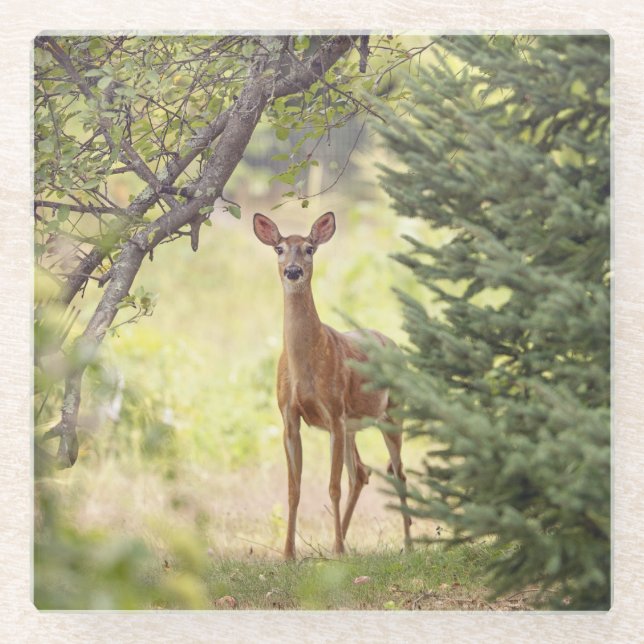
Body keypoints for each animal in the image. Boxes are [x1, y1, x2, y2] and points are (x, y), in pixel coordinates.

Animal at [253, 211, 412, 560]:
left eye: (310, 248)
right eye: (279, 248)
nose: (293, 271)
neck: (306, 366)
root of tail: (393, 344)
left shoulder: (334, 411)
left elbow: (332, 486)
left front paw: (336, 550)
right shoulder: (289, 417)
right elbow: (294, 488)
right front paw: (288, 553)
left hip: (393, 413)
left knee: (398, 473)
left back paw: (406, 543)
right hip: (353, 425)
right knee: (362, 472)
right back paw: (341, 542)